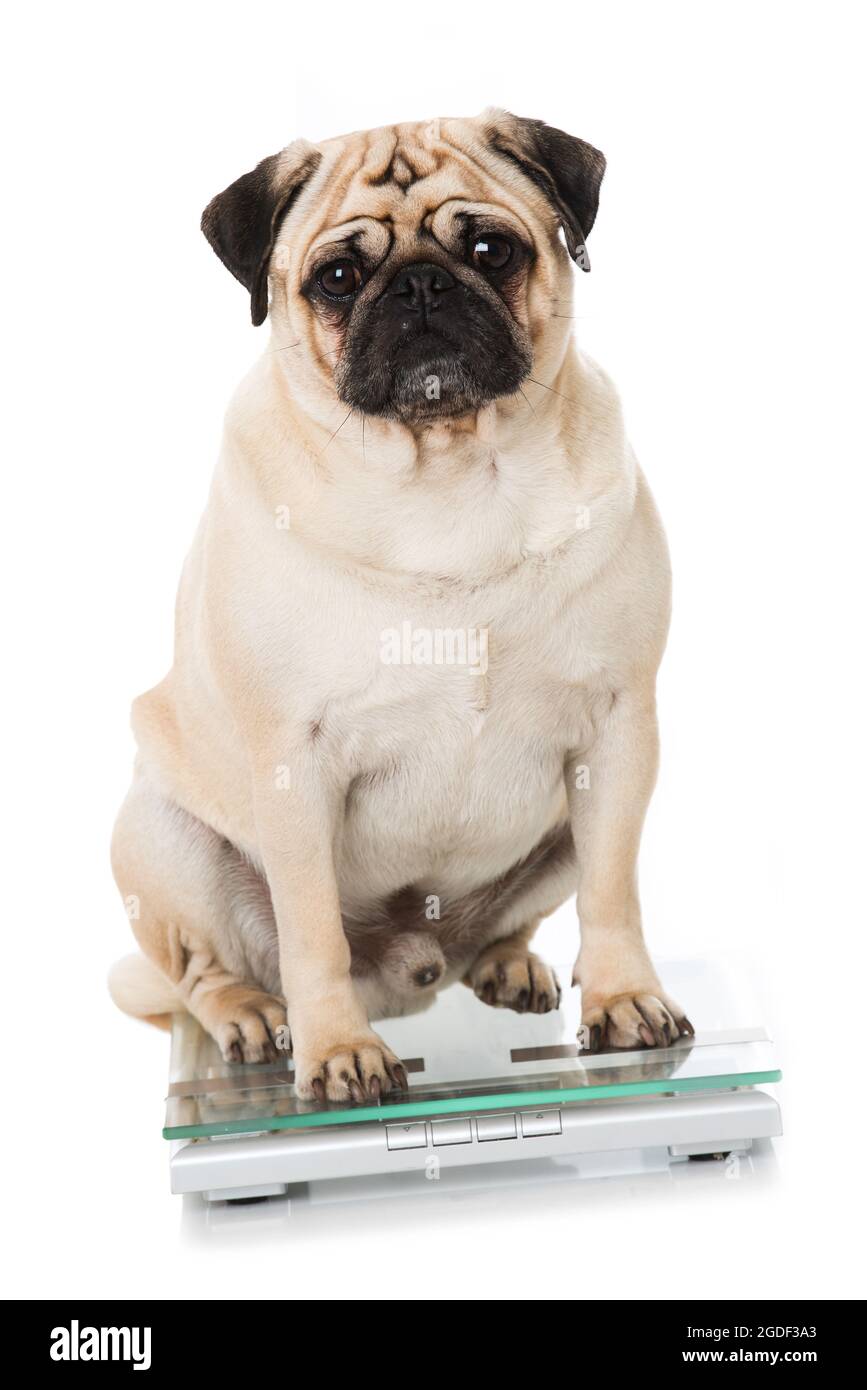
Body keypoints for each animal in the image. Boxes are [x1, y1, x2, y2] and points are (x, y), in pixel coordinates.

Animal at [109, 108, 691, 1100]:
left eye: (492, 250)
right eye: (338, 278)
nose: (420, 285)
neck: (446, 474)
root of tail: (415, 973)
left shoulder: (618, 728)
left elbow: (613, 889)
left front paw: (623, 1000)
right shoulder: (293, 764)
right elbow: (310, 929)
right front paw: (337, 1050)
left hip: (556, 837)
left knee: (529, 912)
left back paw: (505, 963)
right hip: (161, 841)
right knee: (200, 976)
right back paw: (256, 1020)